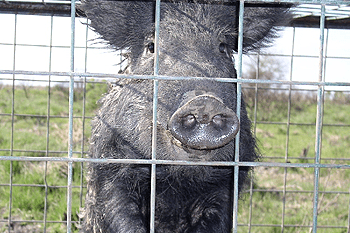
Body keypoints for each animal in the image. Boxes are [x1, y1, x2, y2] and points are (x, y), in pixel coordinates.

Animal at [81, 0, 290, 232]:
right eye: (151, 47)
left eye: (223, 48)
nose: (205, 102)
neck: (175, 184)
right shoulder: (110, 165)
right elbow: (119, 212)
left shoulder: (226, 183)